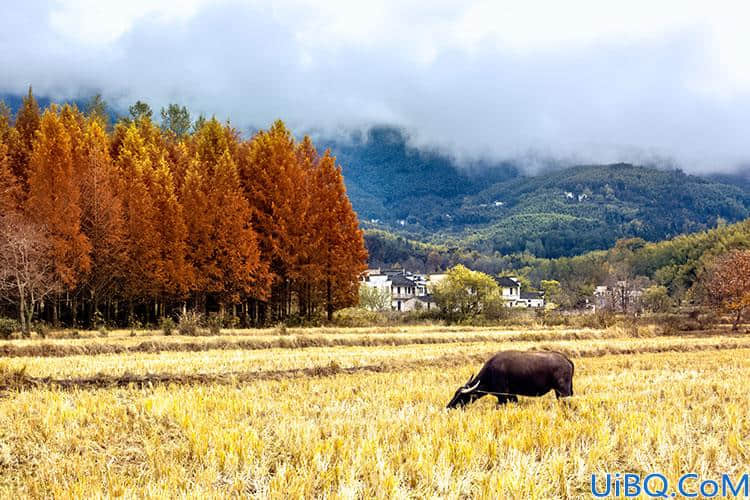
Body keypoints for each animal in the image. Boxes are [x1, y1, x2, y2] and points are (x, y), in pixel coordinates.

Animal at [446, 350, 576, 408]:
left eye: (461, 396)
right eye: (454, 394)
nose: (449, 407)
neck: (491, 372)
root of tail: (566, 359)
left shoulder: (502, 396)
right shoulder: (512, 395)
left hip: (563, 391)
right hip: (559, 392)